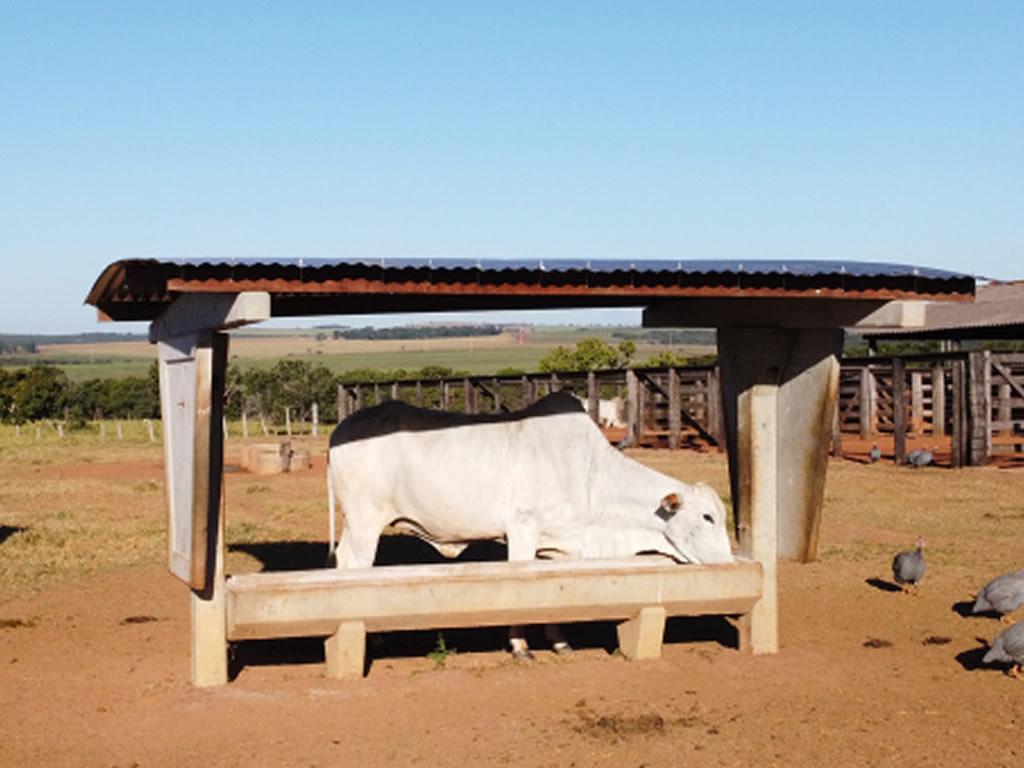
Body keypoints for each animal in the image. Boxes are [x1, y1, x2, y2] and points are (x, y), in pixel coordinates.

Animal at [326, 391, 734, 658]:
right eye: (707, 516)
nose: (730, 563)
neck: (590, 476)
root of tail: (340, 432)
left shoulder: (561, 546)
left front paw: (561, 643)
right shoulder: (523, 530)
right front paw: (521, 647)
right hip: (366, 524)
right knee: (355, 568)